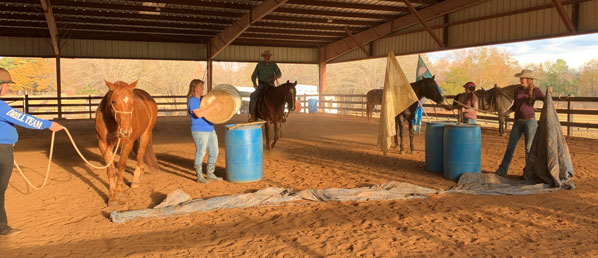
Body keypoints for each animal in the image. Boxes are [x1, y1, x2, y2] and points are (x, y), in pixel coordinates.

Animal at [95, 79, 159, 207]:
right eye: (114, 101)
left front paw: (119, 190)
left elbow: (121, 165)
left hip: (146, 134)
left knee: (140, 154)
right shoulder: (103, 144)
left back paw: (135, 180)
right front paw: (112, 198)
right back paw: (141, 172)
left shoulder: (127, 143)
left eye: (132, 101)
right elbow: (111, 170)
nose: (125, 131)